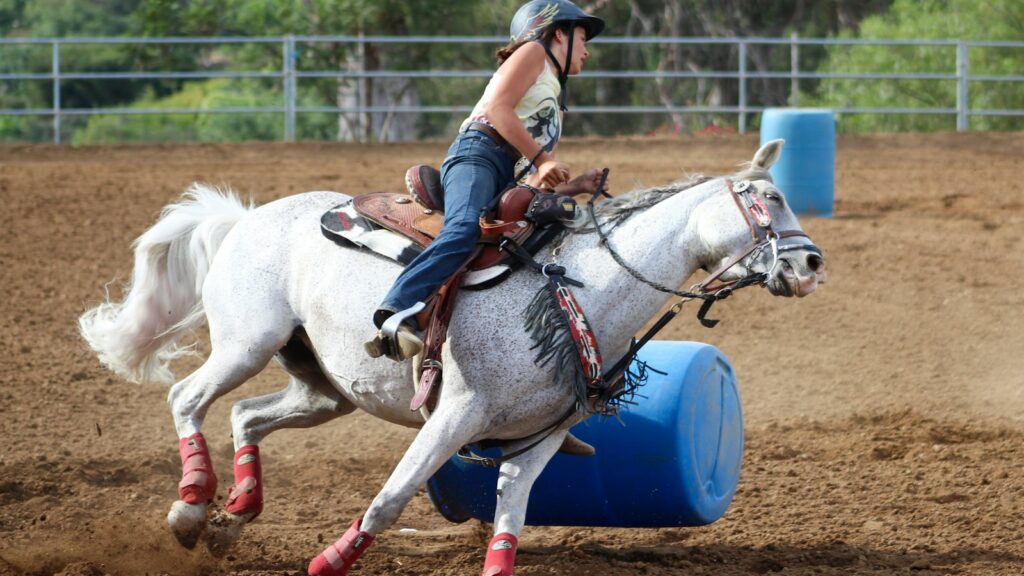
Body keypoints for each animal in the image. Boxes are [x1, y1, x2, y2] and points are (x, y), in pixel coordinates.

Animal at [78, 140, 826, 576]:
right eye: (769, 197)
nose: (812, 264)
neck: (575, 291)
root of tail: (245, 217)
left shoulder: (536, 441)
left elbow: (508, 527)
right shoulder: (453, 417)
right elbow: (388, 501)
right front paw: (327, 563)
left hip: (323, 390)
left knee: (246, 417)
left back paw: (232, 517)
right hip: (245, 344)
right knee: (189, 399)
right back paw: (190, 509)